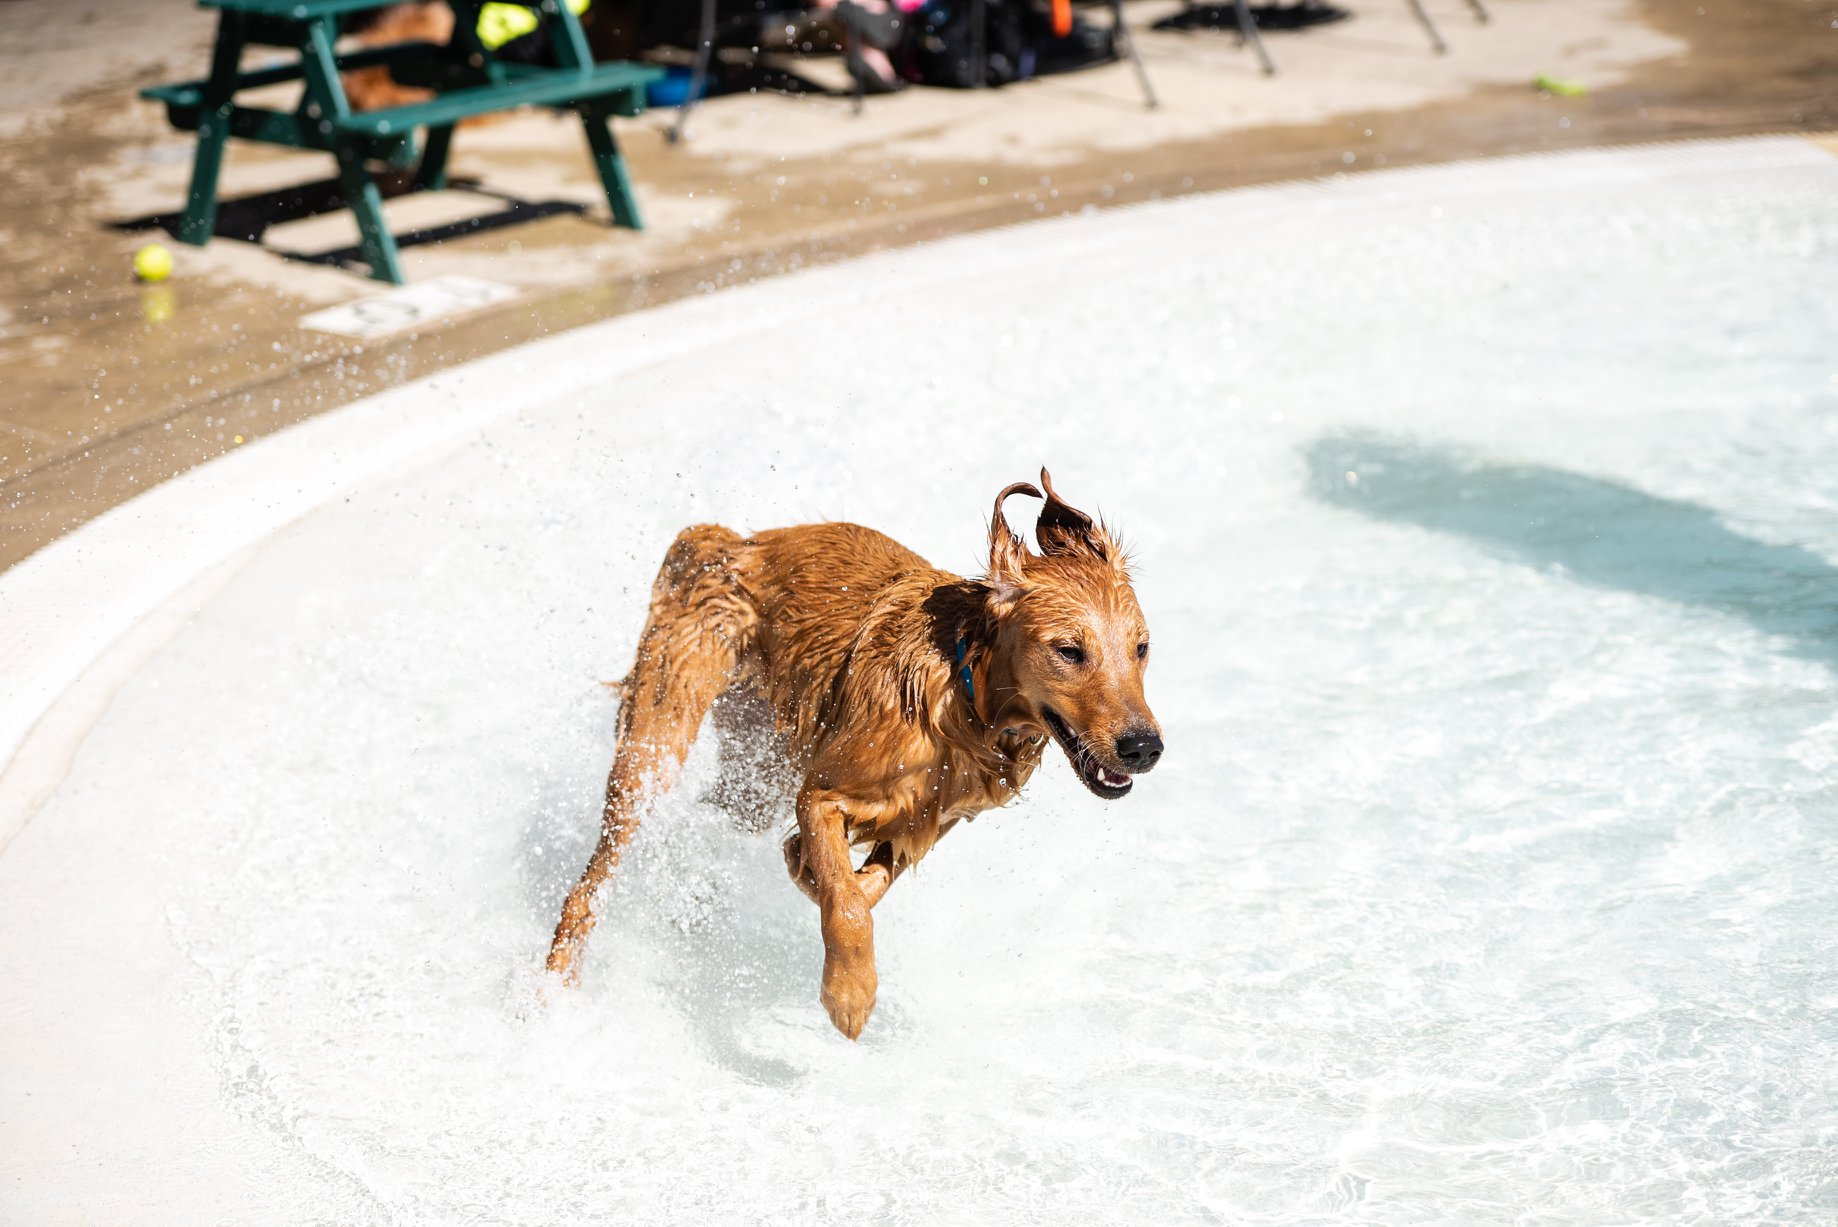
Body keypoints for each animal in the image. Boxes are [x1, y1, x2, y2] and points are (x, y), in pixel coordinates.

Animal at [536, 470, 1161, 1035]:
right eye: (1069, 651)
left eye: (1141, 648)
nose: (1144, 747)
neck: (962, 695)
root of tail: (735, 543)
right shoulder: (820, 794)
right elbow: (849, 905)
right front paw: (850, 993)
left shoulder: (933, 817)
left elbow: (866, 882)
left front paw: (802, 868)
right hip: (659, 743)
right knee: (588, 888)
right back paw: (553, 990)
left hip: (756, 772)